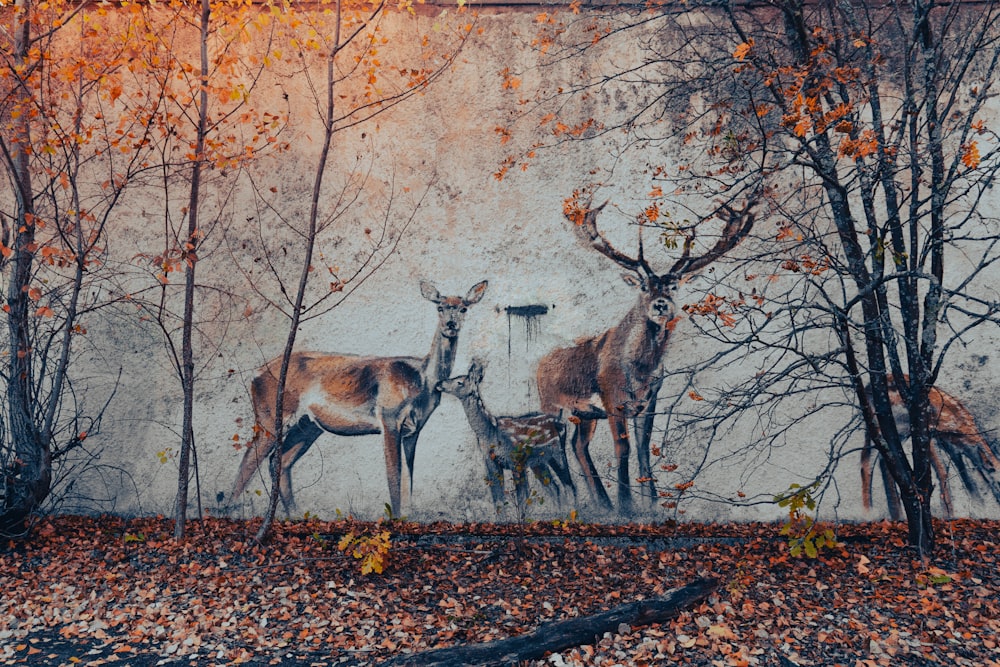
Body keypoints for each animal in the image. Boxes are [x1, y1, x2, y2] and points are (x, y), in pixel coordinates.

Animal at [229, 280, 488, 516]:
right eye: (440, 307)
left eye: (463, 308)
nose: (451, 325)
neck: (421, 379)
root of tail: (255, 374)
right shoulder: (389, 418)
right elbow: (394, 479)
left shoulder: (414, 430)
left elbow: (409, 482)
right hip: (271, 414)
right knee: (248, 462)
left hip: (308, 425)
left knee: (278, 460)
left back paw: (293, 514)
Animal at [440, 362, 580, 508]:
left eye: (459, 382)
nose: (439, 383)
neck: (491, 432)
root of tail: (562, 423)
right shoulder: (490, 462)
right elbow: (499, 501)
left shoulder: (516, 459)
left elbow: (523, 499)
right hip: (539, 462)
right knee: (554, 488)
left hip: (557, 451)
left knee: (569, 485)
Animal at [540, 196, 756, 516]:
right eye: (644, 286)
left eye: (674, 286)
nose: (661, 304)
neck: (639, 371)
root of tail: (538, 364)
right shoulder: (612, 398)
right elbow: (623, 447)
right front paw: (626, 505)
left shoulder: (649, 399)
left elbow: (643, 448)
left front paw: (651, 504)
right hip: (549, 405)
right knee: (552, 446)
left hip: (584, 413)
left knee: (579, 446)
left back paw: (601, 503)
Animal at [860, 376, 1000, 520]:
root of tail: (867, 387)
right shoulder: (928, 433)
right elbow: (942, 470)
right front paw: (948, 513)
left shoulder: (950, 444)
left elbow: (967, 476)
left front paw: (980, 509)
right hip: (878, 425)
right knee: (867, 460)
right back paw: (868, 513)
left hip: (898, 432)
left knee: (884, 460)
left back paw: (896, 514)